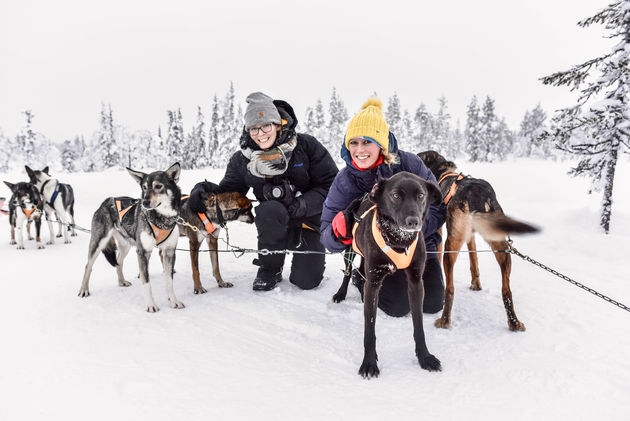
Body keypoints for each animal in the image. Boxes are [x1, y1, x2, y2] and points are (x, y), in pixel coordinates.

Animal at [348, 171, 442, 378]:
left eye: (421, 195)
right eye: (396, 195)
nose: (413, 221)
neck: (399, 240)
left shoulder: (416, 281)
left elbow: (418, 325)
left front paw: (424, 357)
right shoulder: (374, 283)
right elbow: (370, 329)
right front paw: (369, 362)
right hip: (349, 250)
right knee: (348, 273)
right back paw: (340, 294)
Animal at [418, 151, 540, 332]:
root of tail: (475, 192)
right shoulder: (471, 236)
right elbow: (474, 259)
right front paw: (476, 284)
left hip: (451, 245)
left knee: (450, 288)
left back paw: (444, 320)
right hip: (502, 247)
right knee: (506, 291)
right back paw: (514, 322)